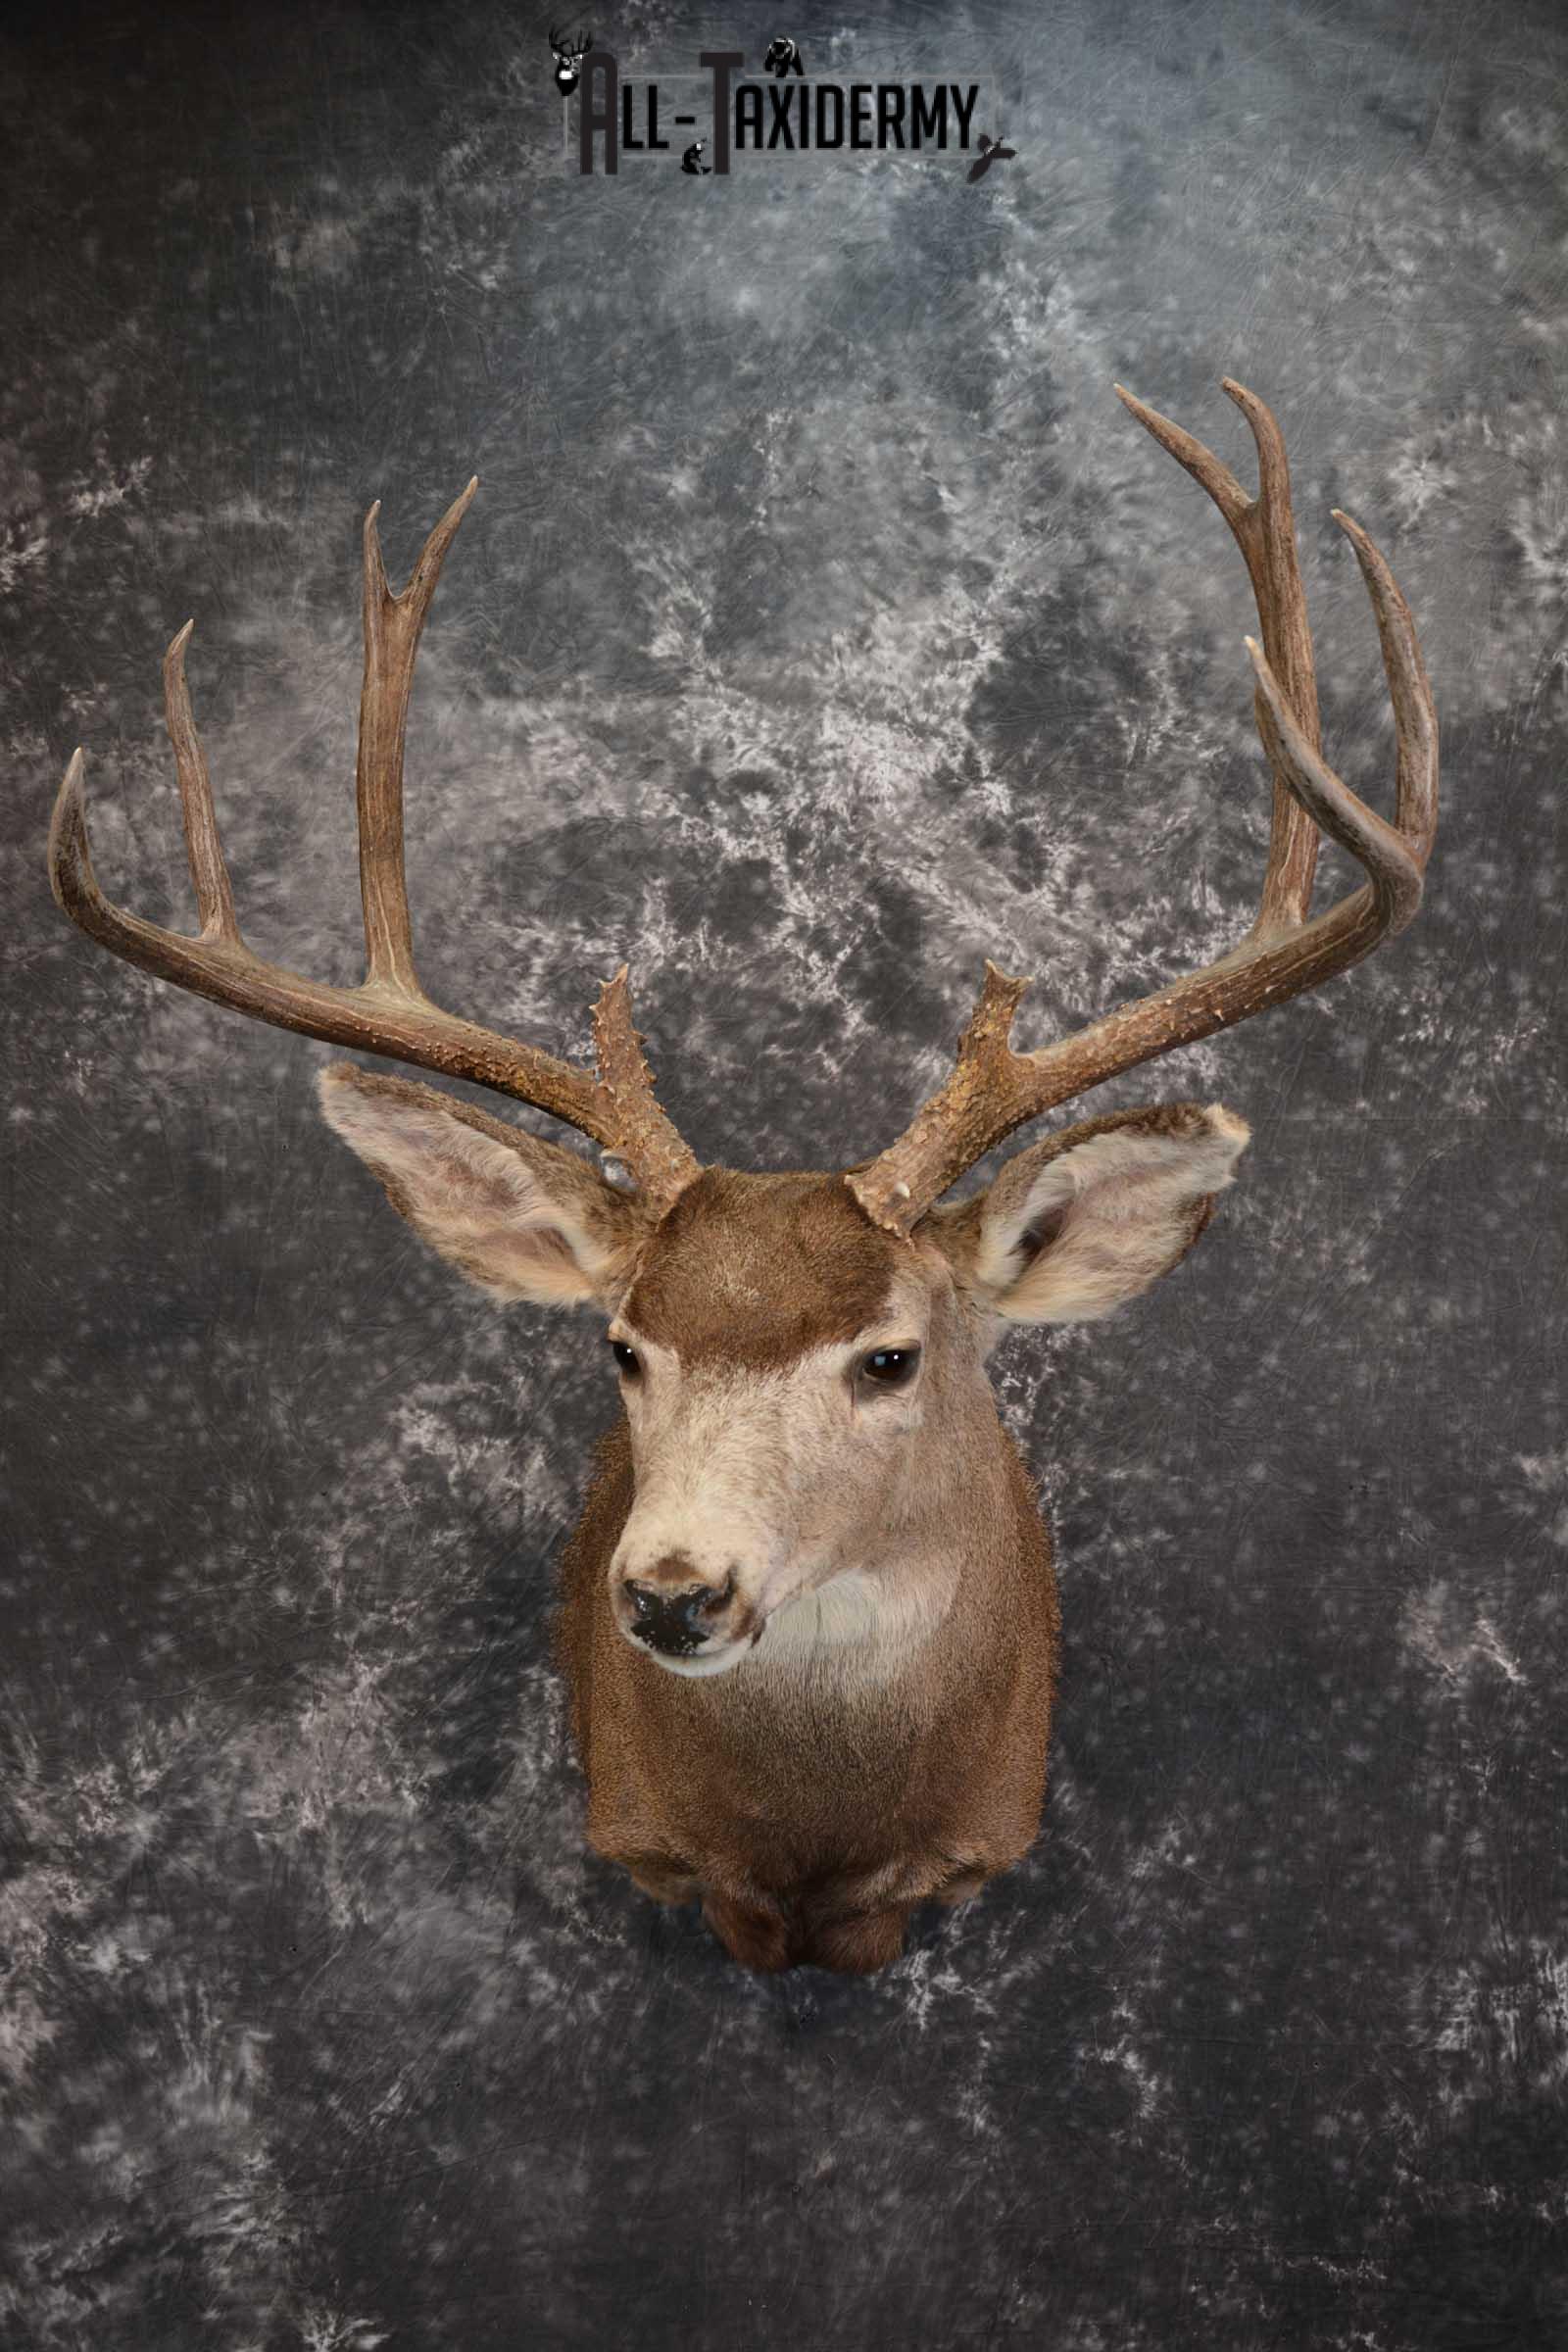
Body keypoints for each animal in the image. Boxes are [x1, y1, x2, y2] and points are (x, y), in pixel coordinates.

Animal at [47, 382, 1437, 1973]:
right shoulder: (649, 1842)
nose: (669, 1592)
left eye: (890, 1356)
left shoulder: (975, 1843)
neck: (813, 1843)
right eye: (622, 1347)